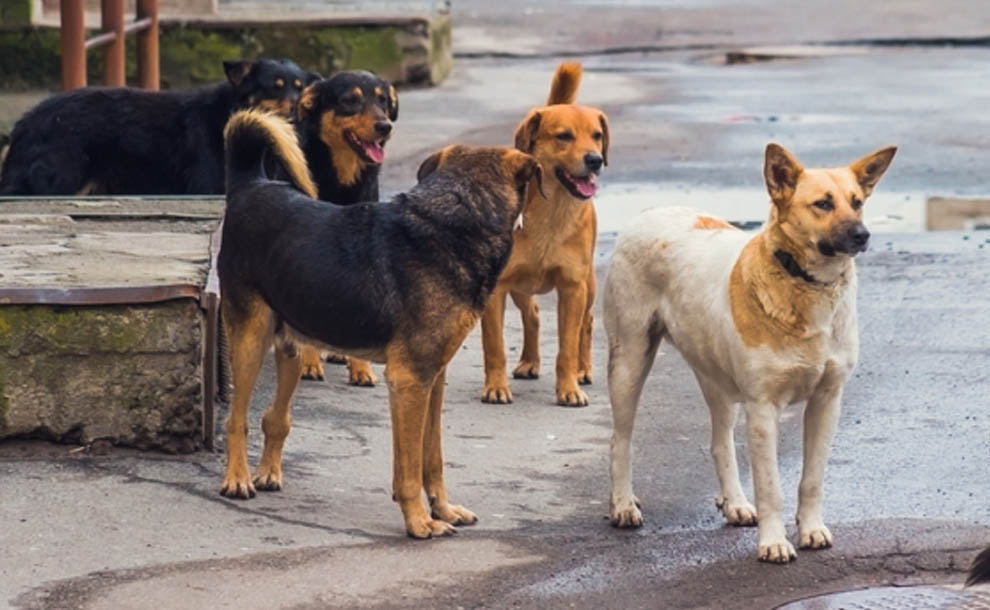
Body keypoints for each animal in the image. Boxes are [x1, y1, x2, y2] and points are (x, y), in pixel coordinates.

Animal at [0, 58, 318, 194]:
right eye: (274, 87)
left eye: (299, 88)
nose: (295, 109)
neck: (229, 111)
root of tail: (25, 123)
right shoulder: (207, 186)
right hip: (57, 181)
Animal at [478, 61, 608, 406]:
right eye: (563, 136)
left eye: (597, 136)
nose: (595, 160)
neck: (551, 212)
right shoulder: (496, 289)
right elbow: (495, 347)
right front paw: (496, 387)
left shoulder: (572, 288)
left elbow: (567, 348)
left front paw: (569, 389)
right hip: (520, 286)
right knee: (533, 314)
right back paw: (529, 362)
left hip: (588, 284)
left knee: (587, 323)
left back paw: (583, 369)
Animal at [608, 142, 896, 560]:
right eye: (823, 204)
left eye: (857, 202)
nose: (862, 234)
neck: (805, 284)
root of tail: (651, 212)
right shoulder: (763, 408)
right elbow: (771, 486)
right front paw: (774, 543)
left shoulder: (827, 400)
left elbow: (812, 479)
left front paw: (811, 529)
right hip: (629, 362)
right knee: (621, 440)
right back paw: (622, 504)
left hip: (716, 378)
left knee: (719, 443)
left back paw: (735, 503)